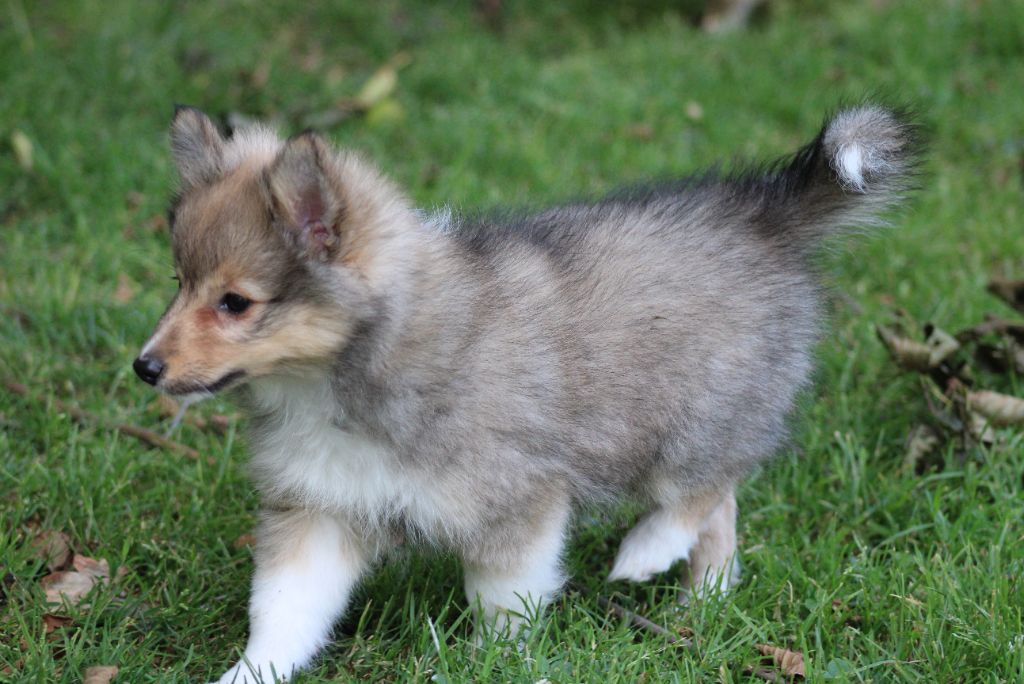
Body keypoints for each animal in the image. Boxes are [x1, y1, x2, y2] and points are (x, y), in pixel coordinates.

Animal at [134, 104, 915, 682]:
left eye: (235, 303)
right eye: (179, 282)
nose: (144, 367)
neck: (336, 384)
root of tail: (764, 213)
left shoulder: (515, 504)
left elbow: (503, 603)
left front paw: (495, 662)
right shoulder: (321, 508)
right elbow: (284, 612)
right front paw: (249, 674)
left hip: (693, 412)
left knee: (702, 488)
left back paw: (647, 552)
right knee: (720, 510)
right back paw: (704, 604)